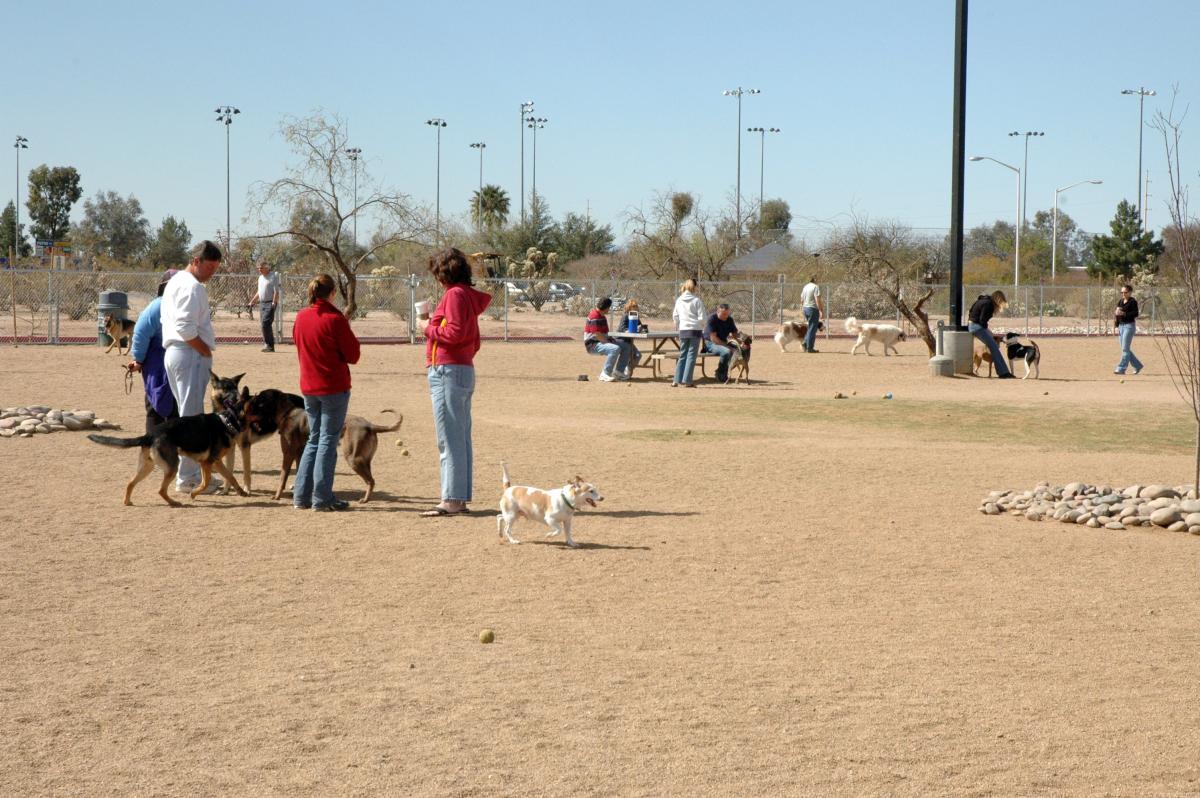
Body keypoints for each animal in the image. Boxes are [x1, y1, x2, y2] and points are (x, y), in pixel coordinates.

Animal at [88, 386, 253, 504]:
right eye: (258, 406)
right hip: (172, 466)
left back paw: (127, 501)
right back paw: (174, 503)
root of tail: (150, 435)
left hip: (147, 467)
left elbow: (231, 477)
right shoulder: (207, 463)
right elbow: (206, 483)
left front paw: (241, 492)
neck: (228, 421)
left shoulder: (215, 462)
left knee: (130, 483)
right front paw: (193, 493)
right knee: (161, 490)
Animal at [247, 386, 403, 504]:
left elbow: (282, 477)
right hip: (364, 460)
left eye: (260, 398)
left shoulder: (288, 454)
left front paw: (277, 496)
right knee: (371, 480)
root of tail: (370, 425)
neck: (287, 413)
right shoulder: (300, 454)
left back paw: (364, 500)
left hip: (353, 459)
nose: (248, 401)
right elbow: (300, 474)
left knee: (371, 481)